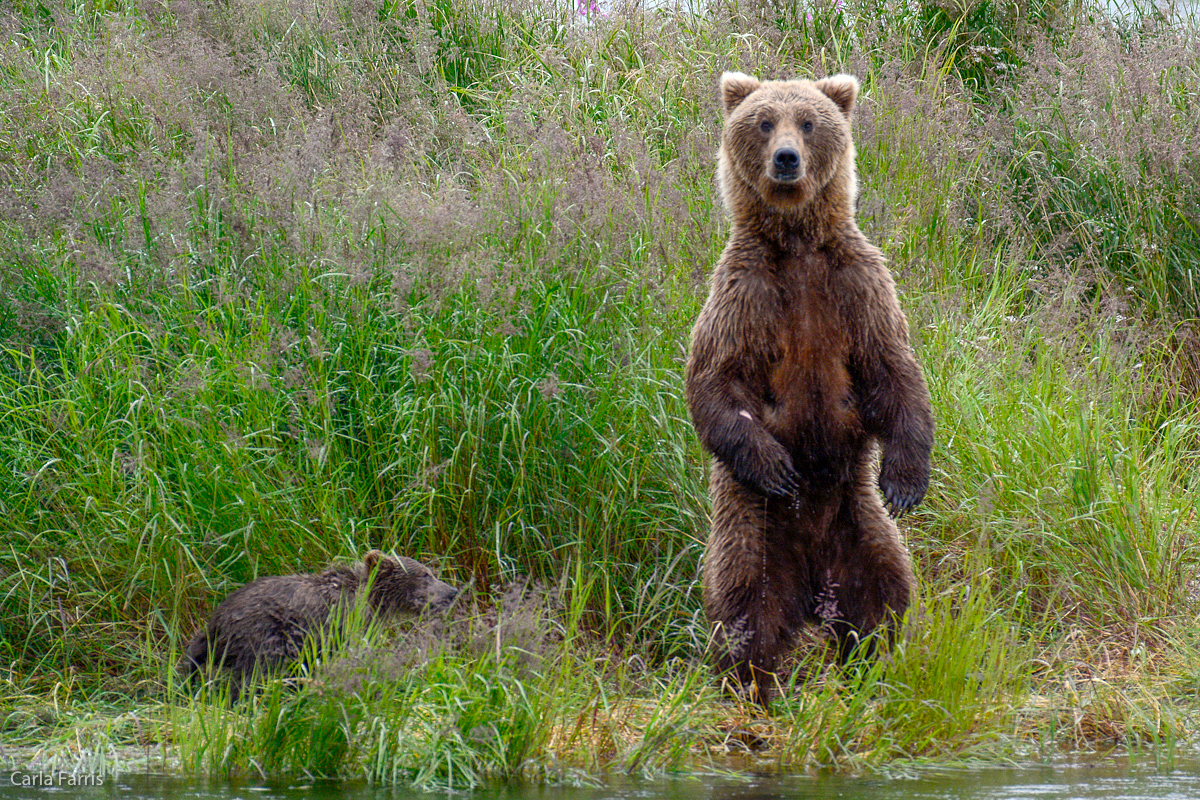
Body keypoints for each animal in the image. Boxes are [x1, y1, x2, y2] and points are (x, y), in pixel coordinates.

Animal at [175, 551, 456, 700]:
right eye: (425, 575)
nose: (452, 591)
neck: (372, 601)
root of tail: (218, 619)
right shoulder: (341, 623)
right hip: (263, 635)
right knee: (253, 676)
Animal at [686, 71, 936, 705]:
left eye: (808, 121)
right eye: (763, 121)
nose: (786, 159)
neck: (796, 243)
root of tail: (812, 588)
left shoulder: (856, 284)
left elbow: (893, 370)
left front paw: (905, 480)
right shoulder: (744, 293)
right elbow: (716, 381)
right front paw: (775, 463)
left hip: (859, 522)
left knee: (883, 595)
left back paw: (872, 668)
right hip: (752, 531)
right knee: (745, 607)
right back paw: (753, 685)